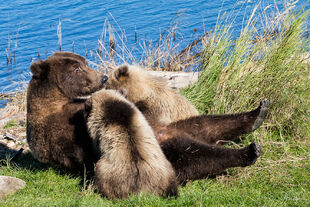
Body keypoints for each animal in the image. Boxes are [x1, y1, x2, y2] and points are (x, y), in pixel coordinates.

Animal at [25, 51, 266, 184]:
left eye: (84, 62)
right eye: (77, 68)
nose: (101, 77)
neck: (55, 101)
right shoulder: (65, 128)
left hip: (178, 126)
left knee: (209, 123)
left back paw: (258, 114)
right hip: (164, 152)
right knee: (196, 155)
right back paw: (248, 152)